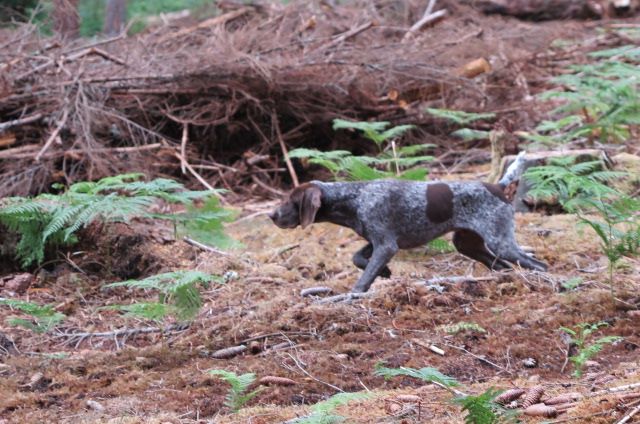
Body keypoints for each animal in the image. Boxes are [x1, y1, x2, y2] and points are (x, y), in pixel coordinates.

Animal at [268, 154, 548, 294]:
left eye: (290, 200)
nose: (271, 215)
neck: (354, 197)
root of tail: (498, 187)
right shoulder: (378, 242)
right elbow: (357, 258)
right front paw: (384, 272)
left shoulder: (386, 245)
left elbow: (362, 279)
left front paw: (355, 292)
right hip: (468, 244)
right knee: (503, 266)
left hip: (500, 242)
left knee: (538, 265)